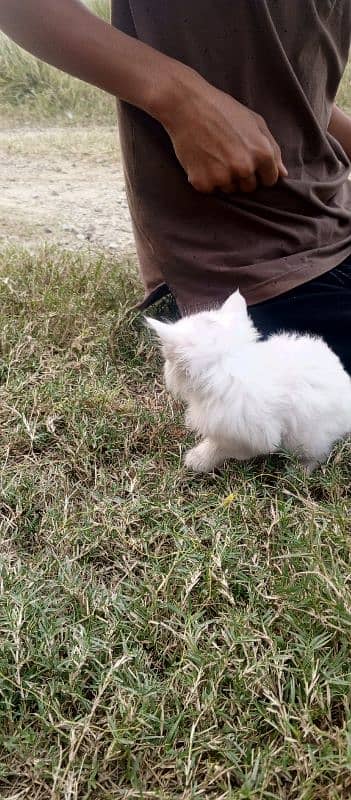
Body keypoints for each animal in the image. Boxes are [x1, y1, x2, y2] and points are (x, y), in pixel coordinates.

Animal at [147, 290, 351, 472]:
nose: (165, 372)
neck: (228, 360)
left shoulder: (246, 433)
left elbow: (220, 446)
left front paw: (197, 460)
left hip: (306, 438)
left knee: (317, 455)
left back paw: (299, 471)